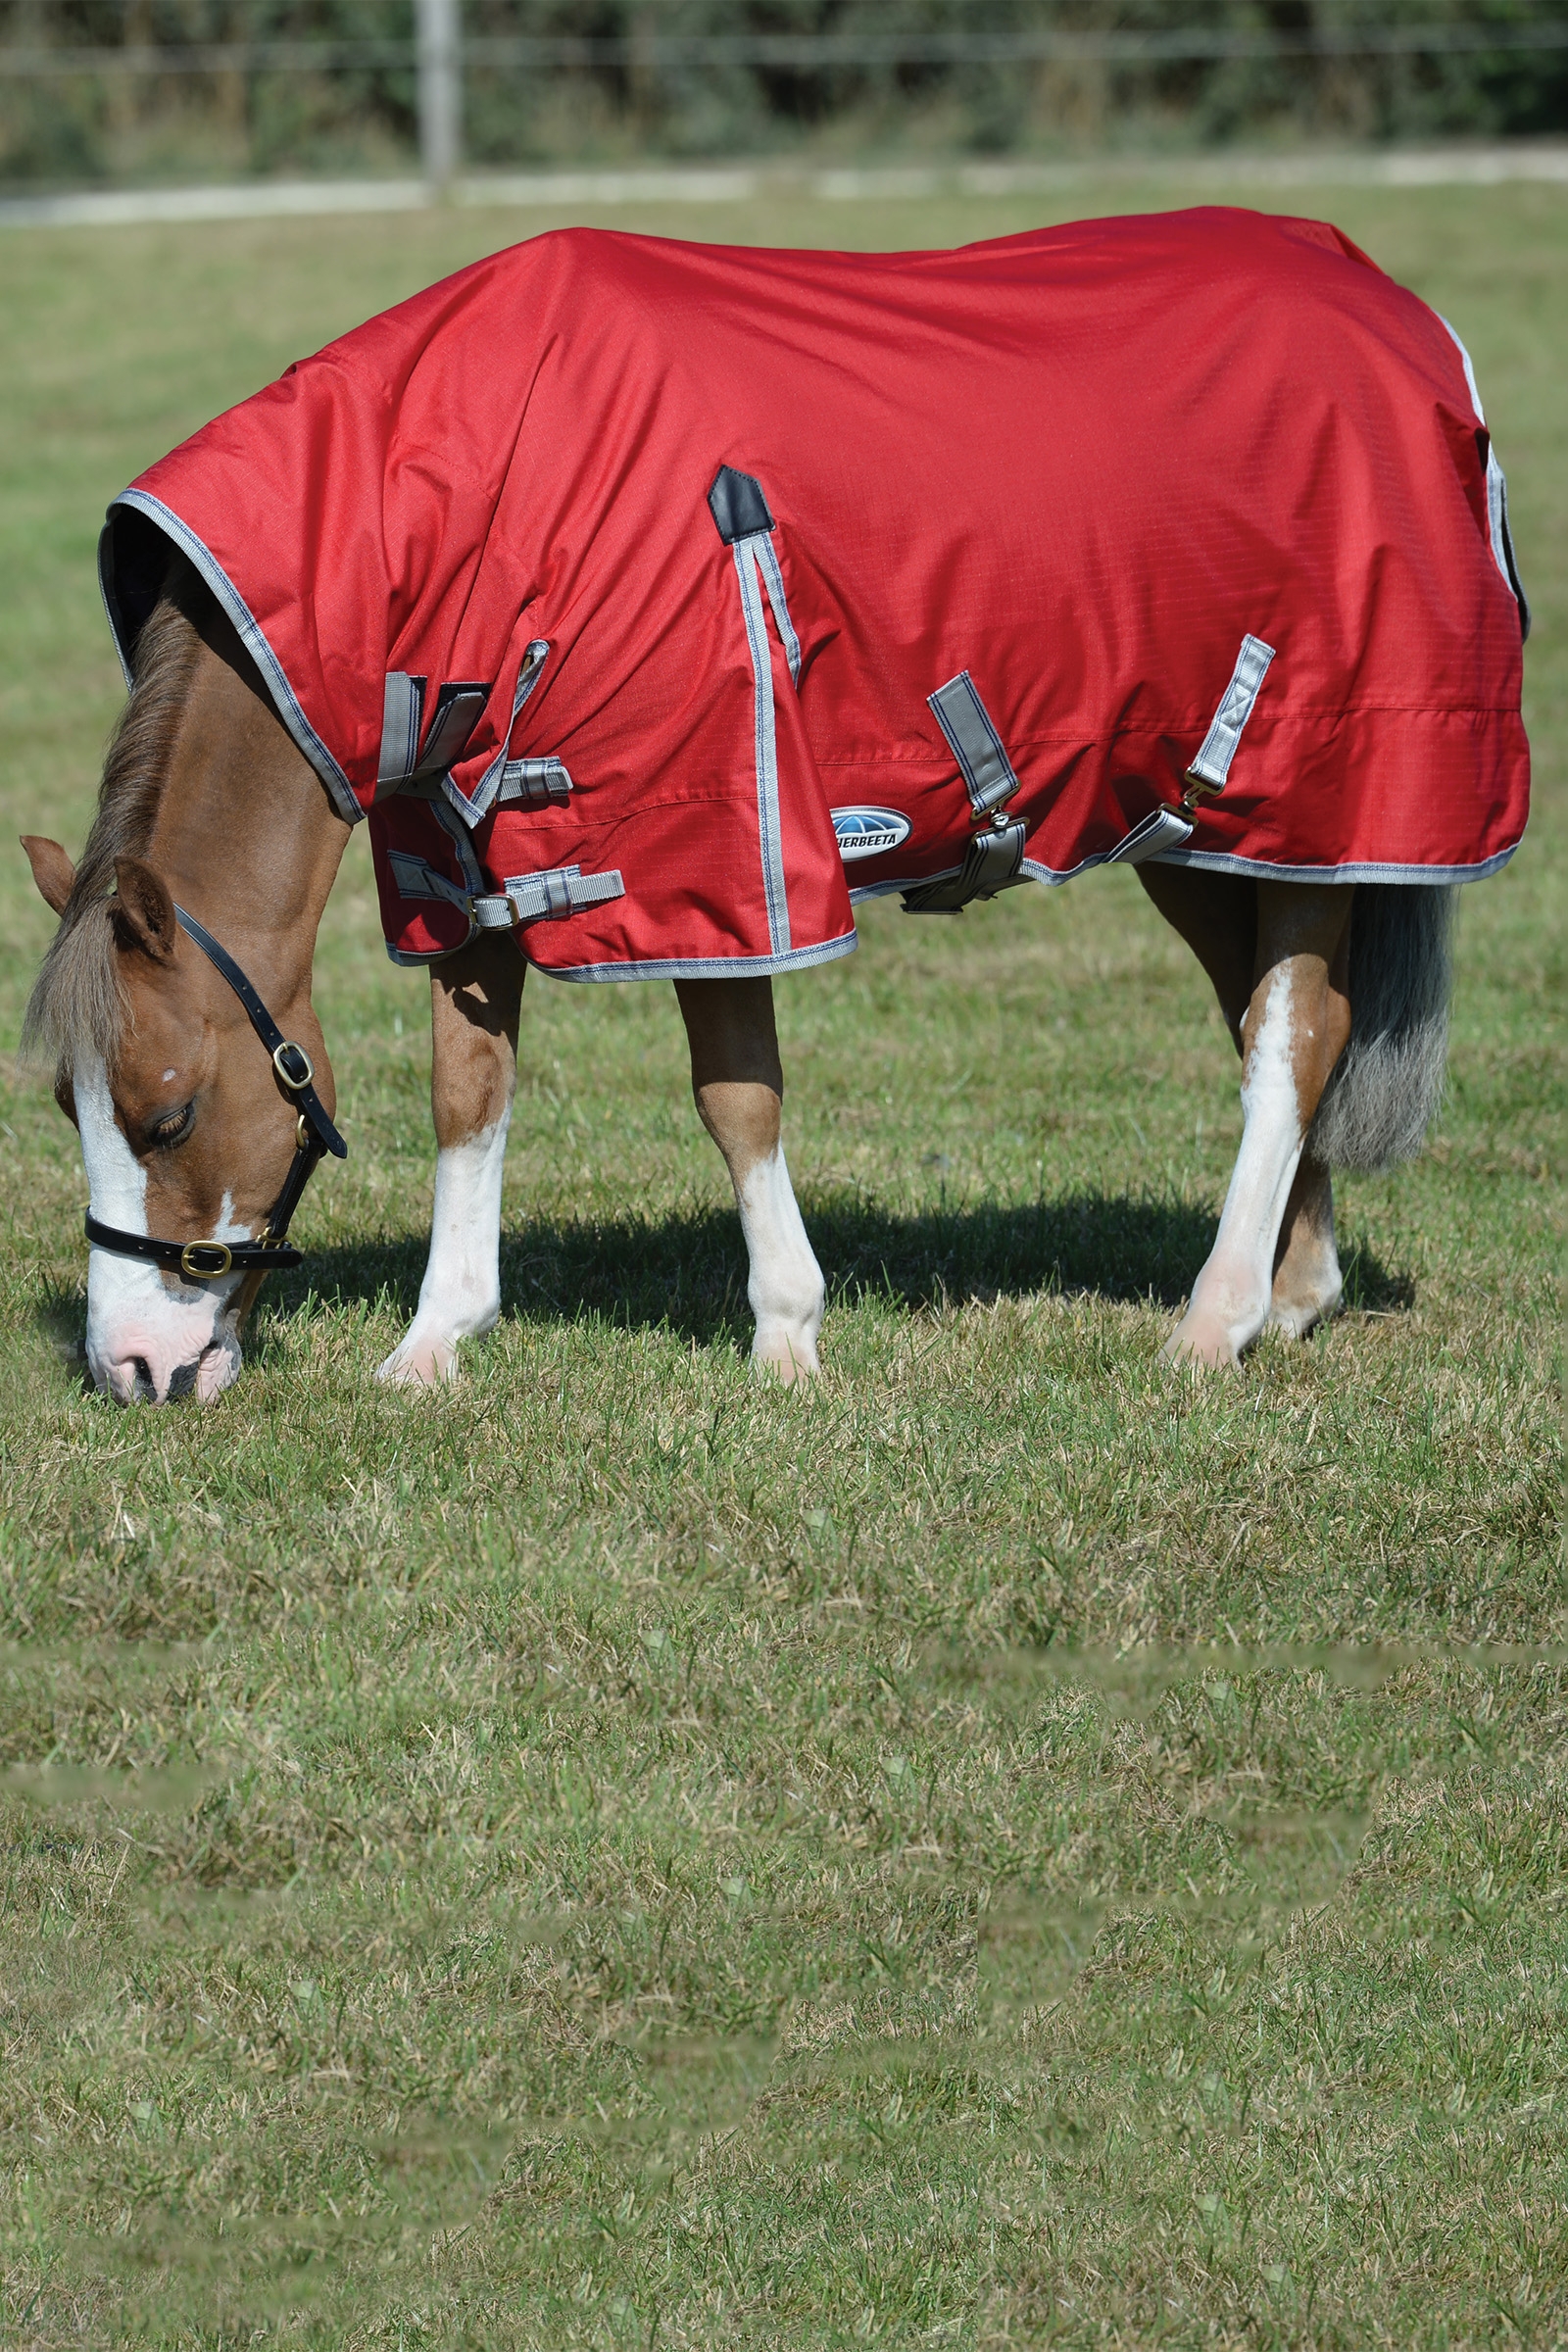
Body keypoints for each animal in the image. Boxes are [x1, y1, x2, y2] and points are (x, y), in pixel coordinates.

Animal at [21, 211, 1527, 1404]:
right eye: (65, 1107)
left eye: (164, 1117)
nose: (135, 1369)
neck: (473, 487)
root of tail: (1396, 309)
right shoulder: (465, 865)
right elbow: (468, 1091)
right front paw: (434, 1343)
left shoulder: (721, 850)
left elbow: (736, 1096)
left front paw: (787, 1335)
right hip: (1210, 836)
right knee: (1286, 1023)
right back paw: (1293, 1292)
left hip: (1327, 798)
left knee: (1292, 1031)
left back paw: (1214, 1319)